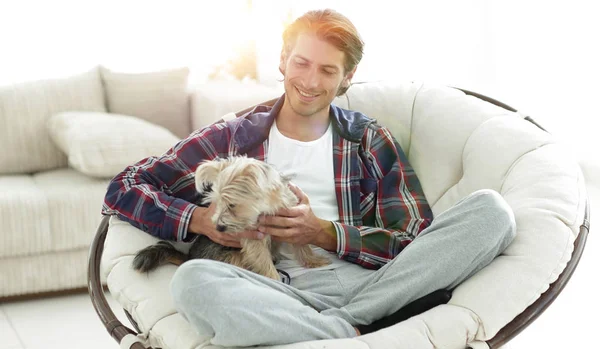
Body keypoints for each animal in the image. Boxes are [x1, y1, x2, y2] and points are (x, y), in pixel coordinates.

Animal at [134, 156, 330, 278]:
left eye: (232, 205)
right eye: (215, 203)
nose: (218, 228)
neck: (266, 211)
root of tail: (189, 257)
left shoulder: (293, 221)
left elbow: (302, 244)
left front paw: (313, 261)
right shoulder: (254, 242)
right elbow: (263, 261)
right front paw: (275, 281)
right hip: (231, 257)